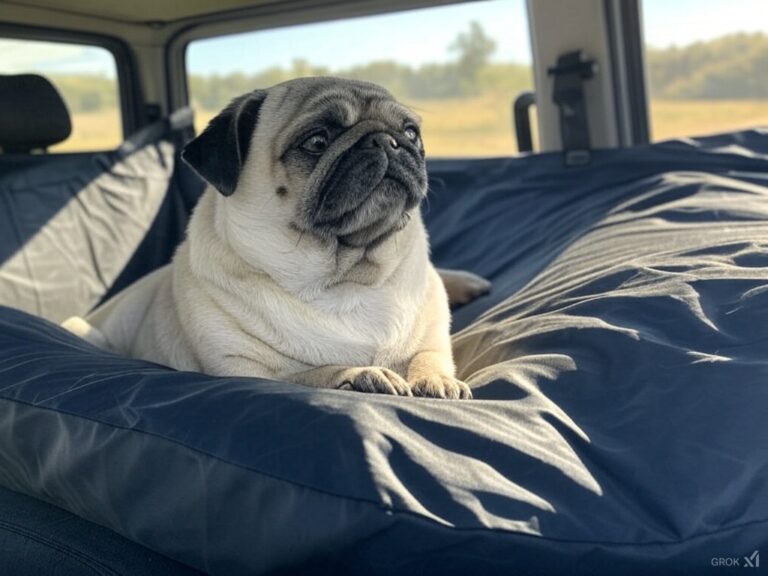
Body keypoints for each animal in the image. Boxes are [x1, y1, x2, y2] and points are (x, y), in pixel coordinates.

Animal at [64, 76, 486, 398]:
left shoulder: (431, 334)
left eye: (412, 133)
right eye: (316, 141)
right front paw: (358, 374)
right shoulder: (240, 371)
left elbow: (428, 355)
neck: (346, 280)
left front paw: (437, 379)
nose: (387, 140)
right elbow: (308, 373)